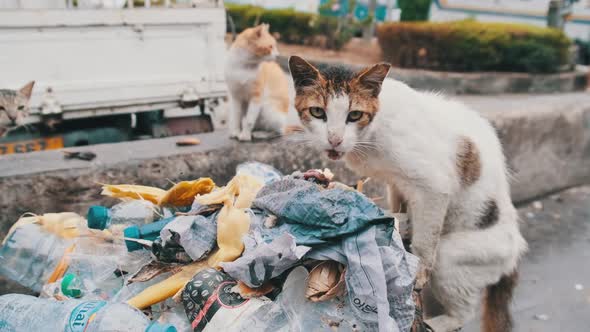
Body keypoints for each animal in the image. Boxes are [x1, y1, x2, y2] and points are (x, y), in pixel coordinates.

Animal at [290, 57, 528, 332]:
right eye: (318, 112)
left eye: (355, 115)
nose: (335, 140)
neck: (372, 133)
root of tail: (516, 252)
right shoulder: (397, 182)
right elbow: (399, 206)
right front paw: (393, 224)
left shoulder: (433, 187)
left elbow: (425, 242)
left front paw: (418, 272)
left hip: (456, 257)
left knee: (462, 313)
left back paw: (437, 323)